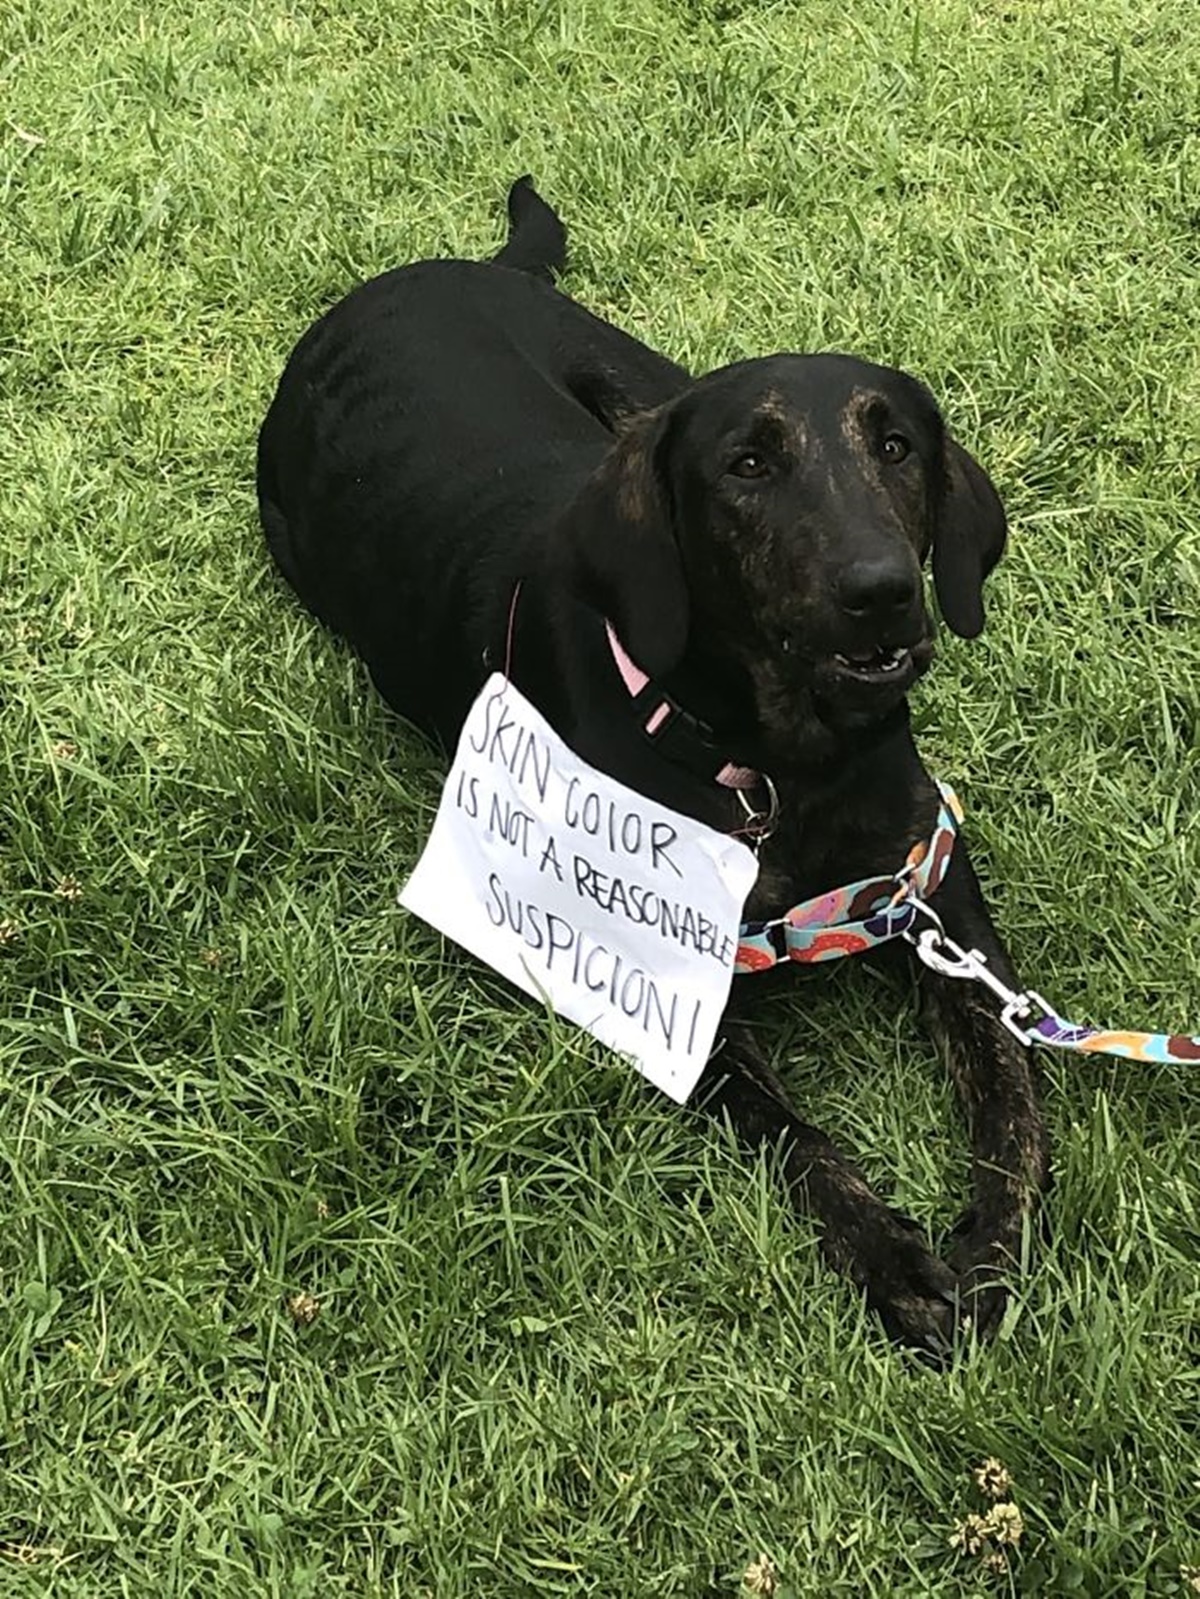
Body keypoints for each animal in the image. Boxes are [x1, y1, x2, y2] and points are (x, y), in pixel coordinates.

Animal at [259, 178, 1049, 1349]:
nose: (882, 589)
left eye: (899, 447)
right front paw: (888, 1251)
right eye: (747, 464)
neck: (780, 760)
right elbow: (789, 1133)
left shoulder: (939, 899)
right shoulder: (667, 979)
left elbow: (1012, 1097)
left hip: (638, 375)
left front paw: (993, 1244)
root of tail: (423, 271)